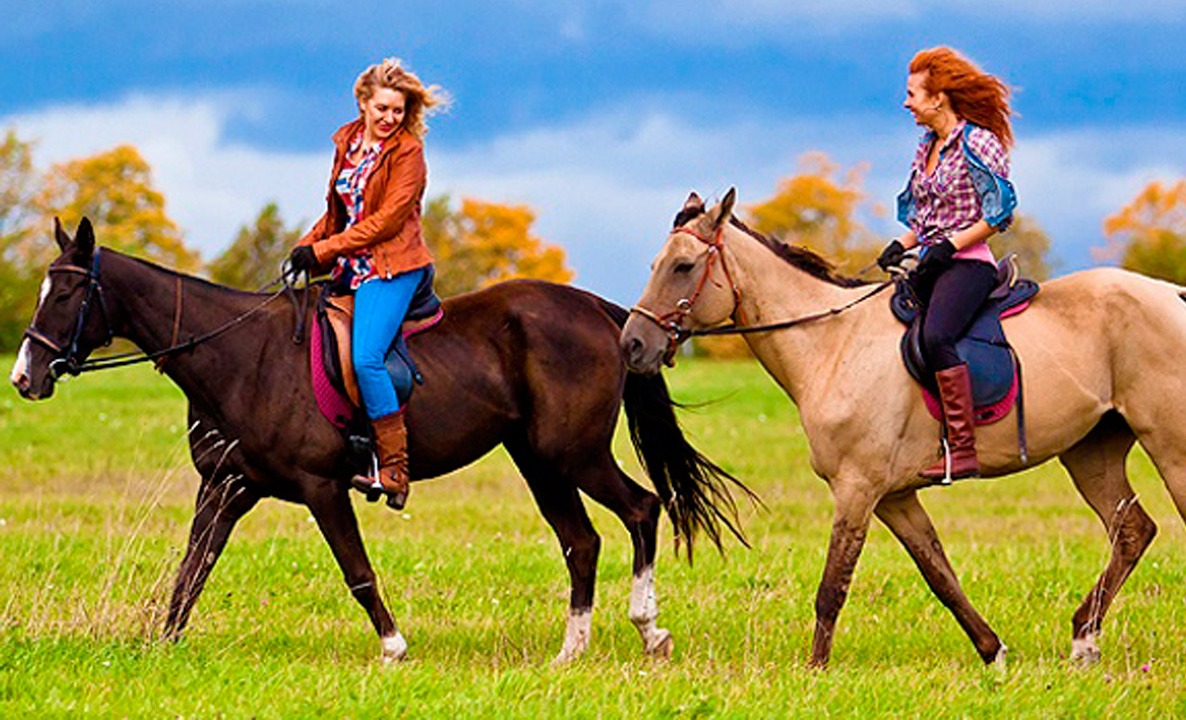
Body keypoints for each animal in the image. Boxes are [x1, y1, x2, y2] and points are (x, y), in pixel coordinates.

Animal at [9, 219, 744, 664]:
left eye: (67, 295)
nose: (24, 376)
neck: (240, 354)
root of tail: (600, 310)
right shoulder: (226, 487)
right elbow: (193, 571)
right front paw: (161, 646)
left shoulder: (320, 487)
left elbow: (356, 571)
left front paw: (393, 646)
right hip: (538, 461)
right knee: (581, 541)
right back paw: (571, 650)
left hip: (574, 453)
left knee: (641, 509)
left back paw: (649, 630)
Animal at [621, 188, 1186, 668]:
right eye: (654, 265)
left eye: (683, 266)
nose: (632, 345)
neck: (831, 343)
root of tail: (1171, 294)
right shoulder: (895, 498)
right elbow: (940, 575)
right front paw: (993, 653)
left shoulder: (857, 489)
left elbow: (833, 586)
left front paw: (815, 671)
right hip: (1091, 452)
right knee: (1132, 531)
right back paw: (1083, 639)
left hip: (1170, 447)